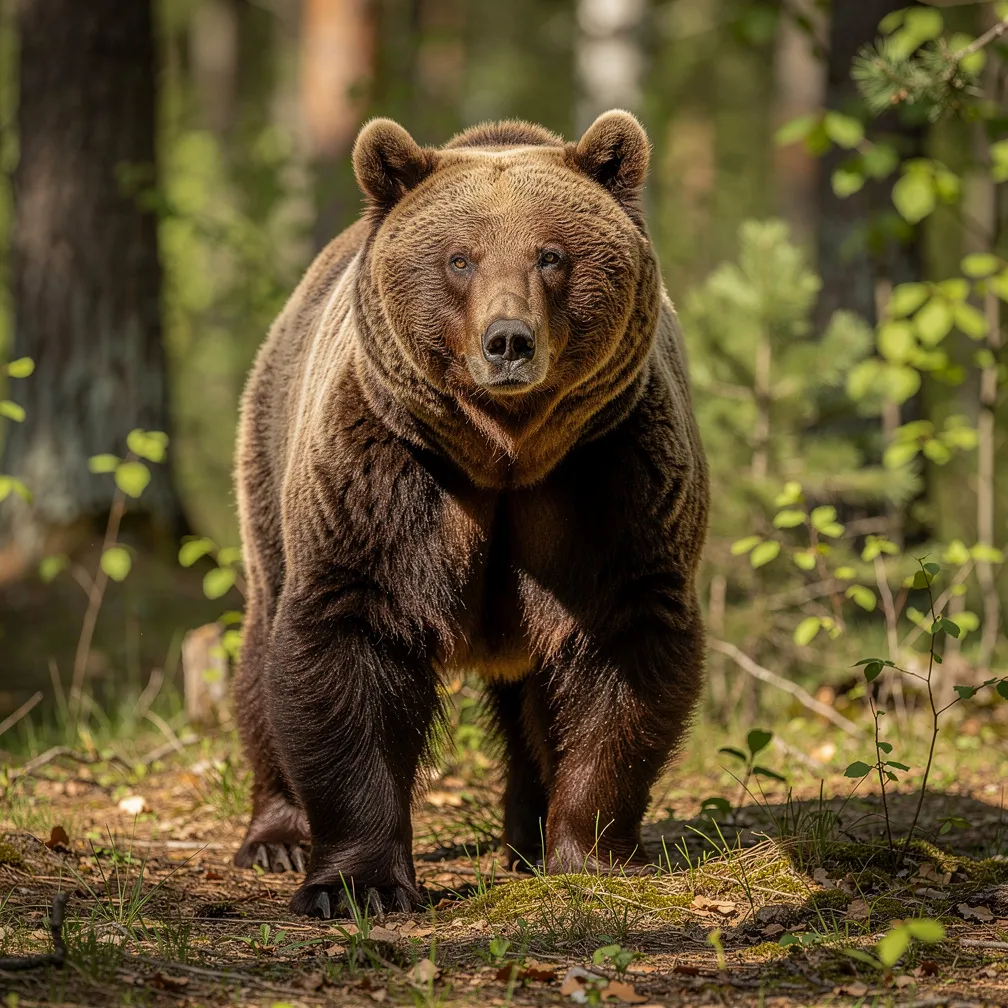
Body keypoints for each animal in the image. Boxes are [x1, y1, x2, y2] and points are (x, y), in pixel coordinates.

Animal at [231, 109, 709, 919]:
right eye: (460, 259)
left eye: (551, 254)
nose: (508, 341)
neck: (505, 453)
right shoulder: (387, 478)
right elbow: (344, 646)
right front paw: (356, 885)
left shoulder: (609, 477)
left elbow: (623, 655)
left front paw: (593, 857)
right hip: (271, 459)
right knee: (263, 645)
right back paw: (276, 835)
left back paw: (527, 836)